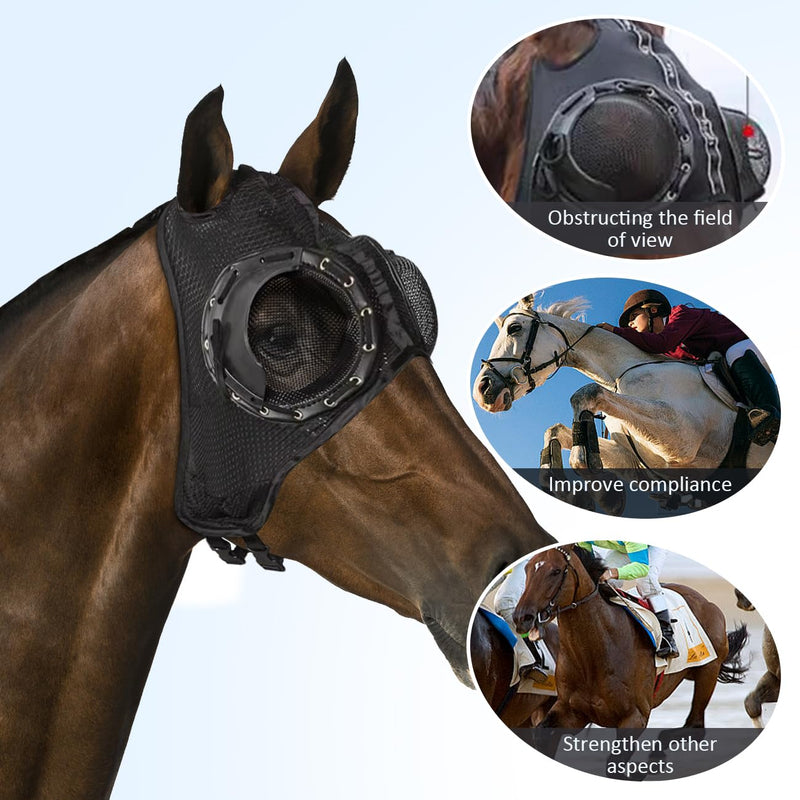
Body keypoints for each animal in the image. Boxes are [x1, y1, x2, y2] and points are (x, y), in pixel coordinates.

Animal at [473, 296, 772, 509]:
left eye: (515, 328)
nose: (483, 390)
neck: (621, 374)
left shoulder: (683, 437)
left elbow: (585, 394)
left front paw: (606, 496)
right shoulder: (632, 455)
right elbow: (554, 431)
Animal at [512, 544, 748, 728]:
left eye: (555, 571)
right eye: (527, 569)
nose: (522, 616)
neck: (596, 652)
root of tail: (708, 603)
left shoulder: (634, 717)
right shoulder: (569, 711)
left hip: (708, 672)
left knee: (694, 724)